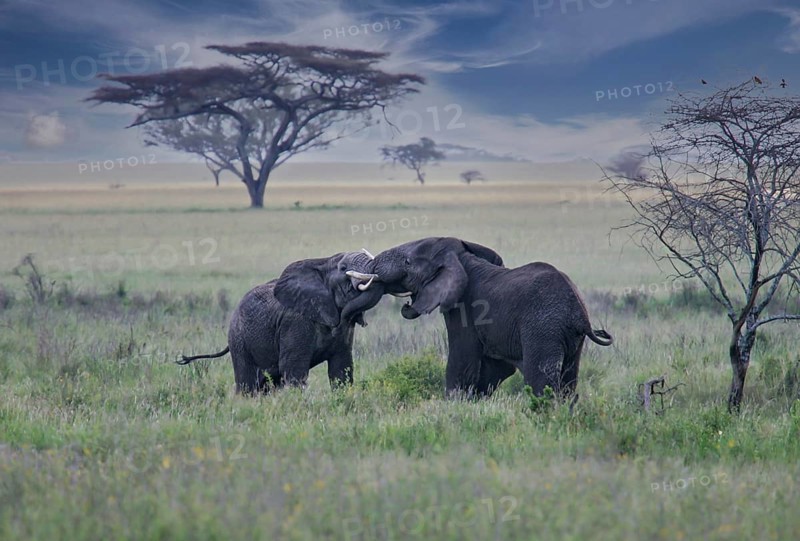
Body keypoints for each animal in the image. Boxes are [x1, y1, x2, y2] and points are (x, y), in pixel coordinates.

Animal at [177, 250, 383, 394]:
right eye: (343, 268)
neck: (323, 263)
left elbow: (341, 368)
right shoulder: (295, 322)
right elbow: (294, 368)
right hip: (238, 340)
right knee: (247, 383)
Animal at [355, 237, 613, 399]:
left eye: (408, 262)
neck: (462, 258)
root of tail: (580, 313)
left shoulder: (464, 309)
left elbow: (462, 360)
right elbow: (496, 368)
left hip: (544, 328)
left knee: (541, 379)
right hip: (571, 338)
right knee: (568, 380)